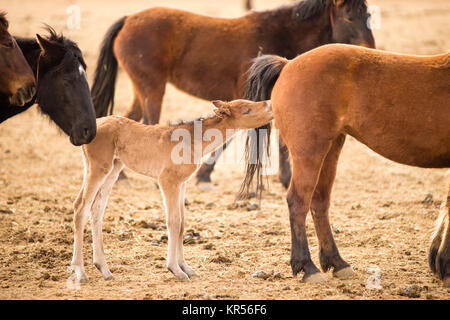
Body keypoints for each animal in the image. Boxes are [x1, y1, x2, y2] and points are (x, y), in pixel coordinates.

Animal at [69, 99, 272, 282]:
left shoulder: (181, 184)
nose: (269, 104)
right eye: (247, 110)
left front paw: (186, 267)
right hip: (98, 168)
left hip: (114, 169)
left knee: (96, 209)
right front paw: (175, 270)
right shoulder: (168, 181)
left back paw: (104, 269)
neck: (191, 141)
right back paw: (80, 271)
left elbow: (181, 223)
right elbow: (173, 222)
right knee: (80, 207)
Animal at [91, 0, 376, 189]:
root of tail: (129, 19)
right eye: (349, 17)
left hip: (142, 90)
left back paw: (121, 176)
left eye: (369, 14)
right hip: (152, 88)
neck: (278, 34)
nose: (370, 52)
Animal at [241, 43, 450, 286]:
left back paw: (336, 262)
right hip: (310, 151)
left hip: (330, 148)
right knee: (298, 202)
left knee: (319, 202)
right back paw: (307, 266)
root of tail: (288, 64)